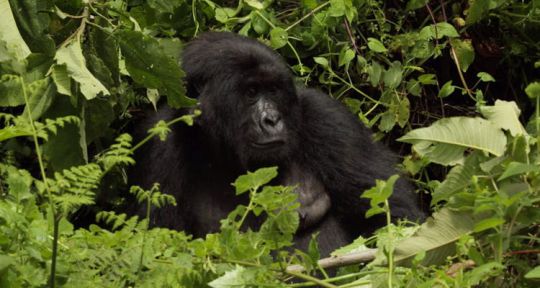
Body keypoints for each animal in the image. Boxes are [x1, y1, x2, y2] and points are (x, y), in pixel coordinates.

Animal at [130, 31, 422, 255]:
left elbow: (393, 218)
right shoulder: (158, 145)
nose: (272, 119)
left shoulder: (328, 120)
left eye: (272, 90)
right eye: (251, 92)